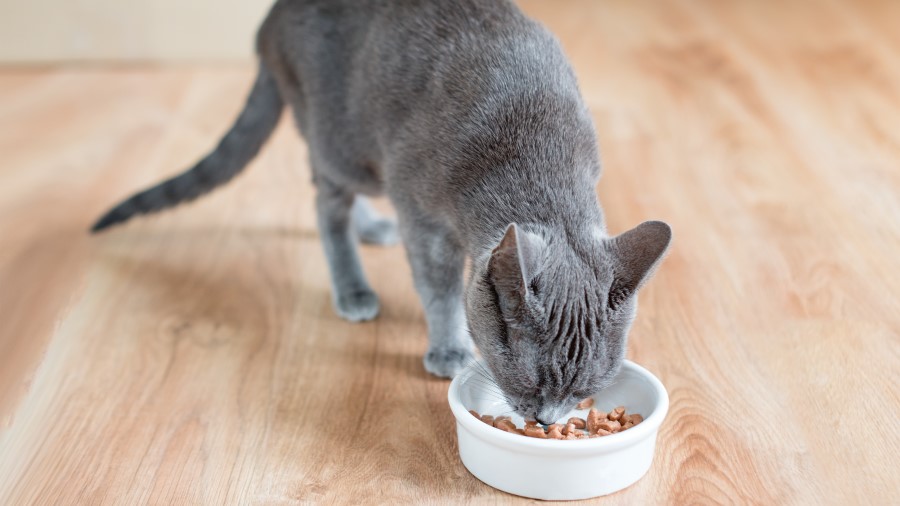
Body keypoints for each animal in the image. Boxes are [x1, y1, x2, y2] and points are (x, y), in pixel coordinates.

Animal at [93, 0, 668, 424]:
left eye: (588, 387)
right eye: (531, 380)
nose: (547, 421)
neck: (535, 152)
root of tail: (269, 20)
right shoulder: (423, 213)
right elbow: (439, 288)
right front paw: (449, 347)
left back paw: (372, 228)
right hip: (342, 139)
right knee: (326, 203)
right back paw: (354, 288)